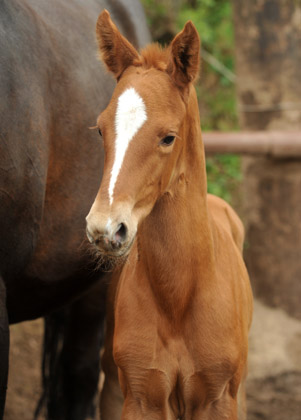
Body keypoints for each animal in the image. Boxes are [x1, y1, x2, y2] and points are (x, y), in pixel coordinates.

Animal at [85, 10, 252, 420]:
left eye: (168, 137)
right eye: (100, 130)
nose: (104, 228)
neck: (178, 297)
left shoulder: (217, 399)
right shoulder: (142, 396)